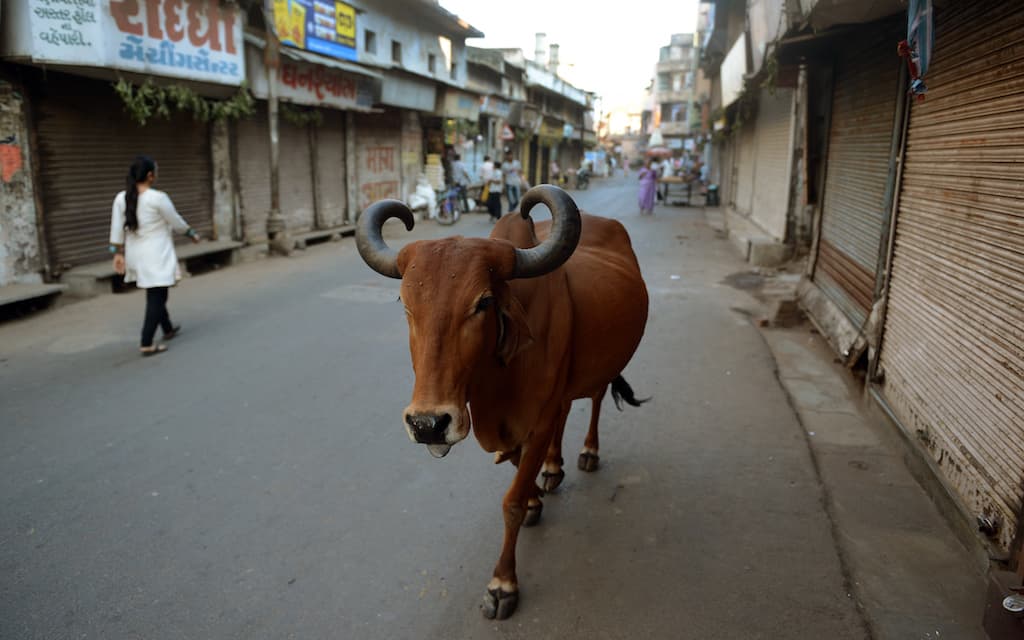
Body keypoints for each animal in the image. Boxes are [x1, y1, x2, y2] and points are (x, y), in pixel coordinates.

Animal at [356, 185, 649, 620]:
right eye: (406, 305)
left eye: (483, 303)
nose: (428, 424)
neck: (499, 376)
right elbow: (518, 469)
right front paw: (536, 497)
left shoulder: (538, 419)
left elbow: (511, 501)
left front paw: (503, 584)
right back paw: (554, 468)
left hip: (600, 371)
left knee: (595, 399)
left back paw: (588, 452)